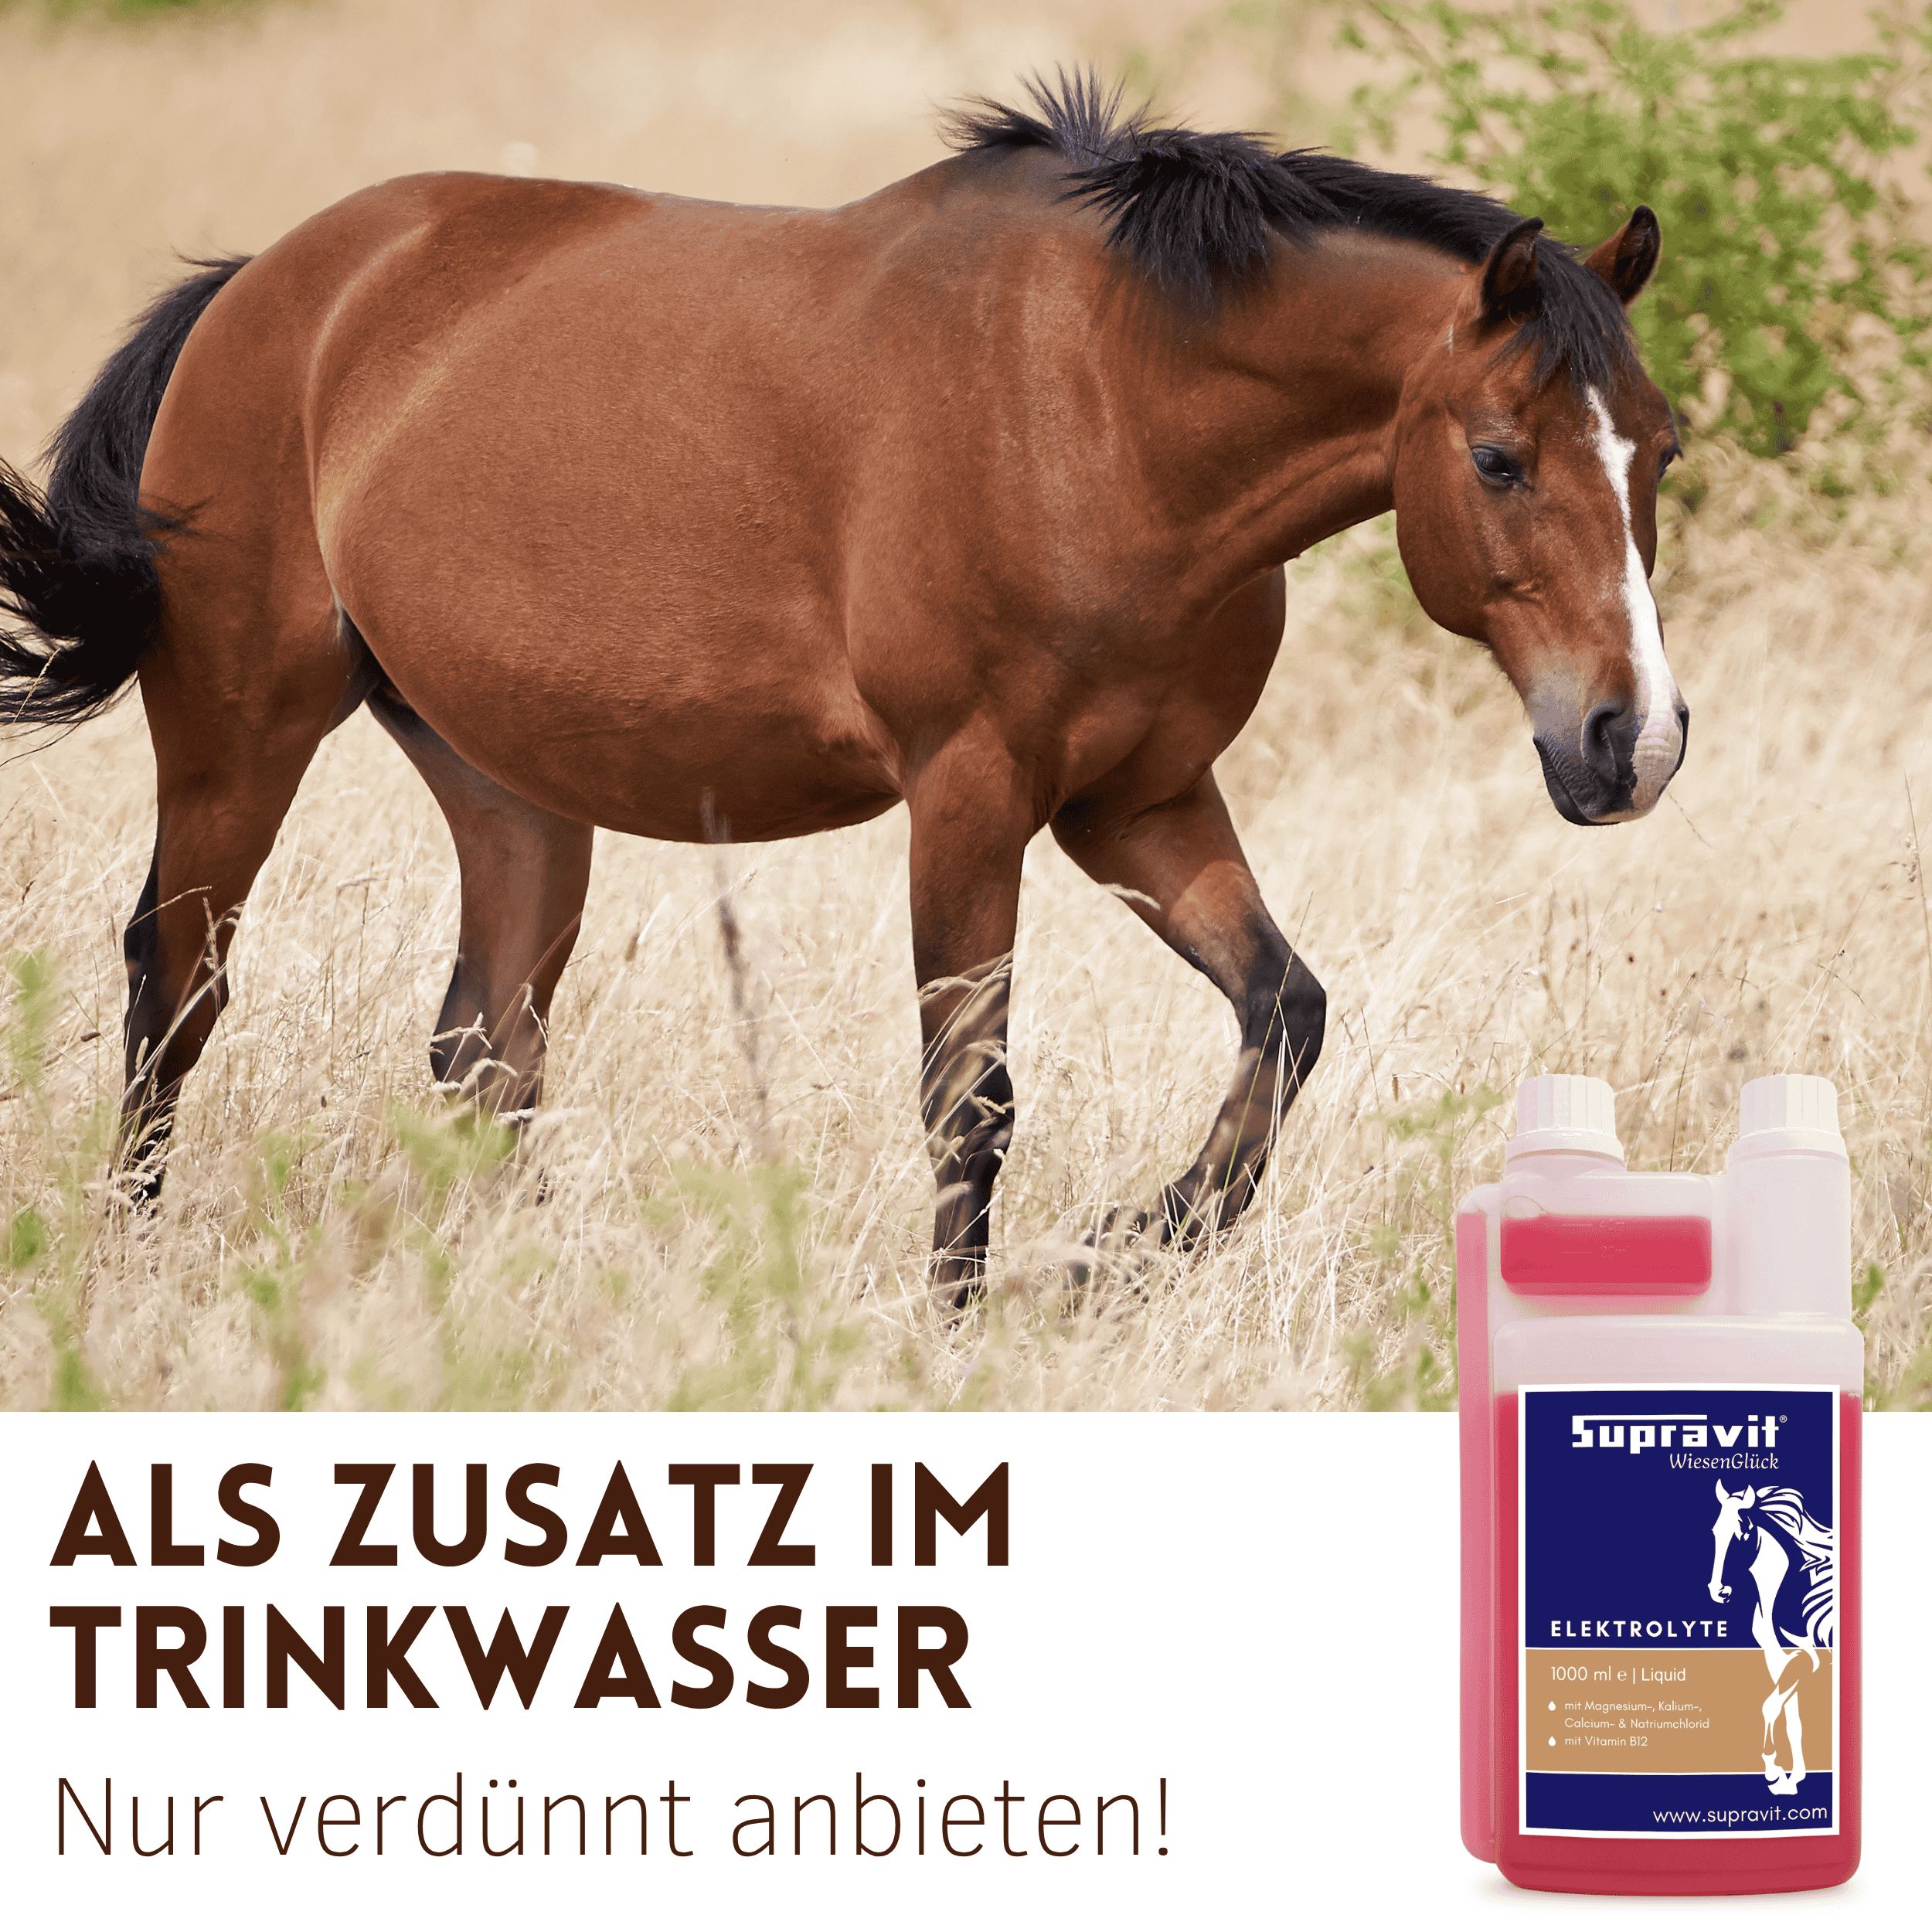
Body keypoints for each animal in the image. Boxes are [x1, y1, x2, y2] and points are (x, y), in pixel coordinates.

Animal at [0, 73, 1686, 1302]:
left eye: (1657, 449)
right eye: (1498, 458)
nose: (1632, 742)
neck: (1101, 404)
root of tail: (268, 286)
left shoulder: (1134, 800)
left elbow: (1284, 1011)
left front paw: (1120, 1252)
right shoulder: (973, 794)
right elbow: (970, 1094)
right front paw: (963, 1323)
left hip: (509, 792)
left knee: (488, 1045)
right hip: (239, 733)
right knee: (178, 989)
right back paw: (130, 1260)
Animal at [1709, 1481, 1836, 1793]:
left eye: (1743, 1534)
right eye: (1715, 1531)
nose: (1719, 1591)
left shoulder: (1809, 1659)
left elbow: (1769, 1707)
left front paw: (1774, 1769)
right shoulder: (1779, 1660)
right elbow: (1792, 1720)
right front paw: (1793, 1777)